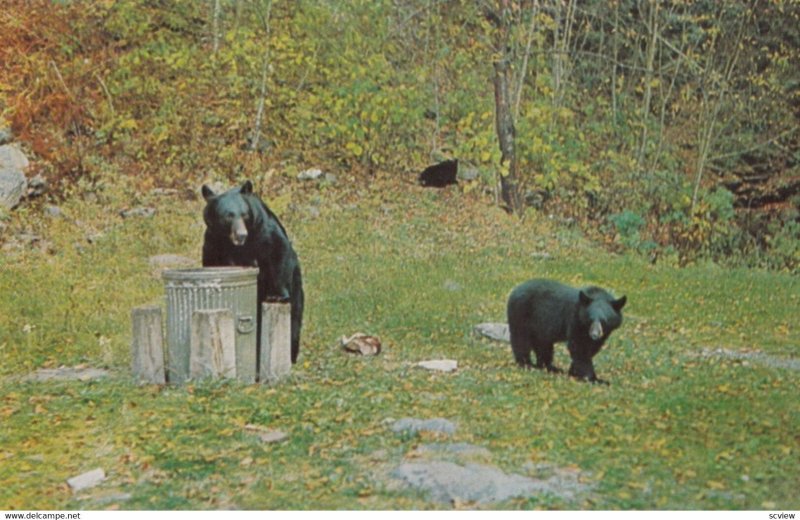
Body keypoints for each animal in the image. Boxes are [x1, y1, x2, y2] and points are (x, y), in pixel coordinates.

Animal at [202, 181, 304, 364]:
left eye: (244, 214)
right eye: (228, 216)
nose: (241, 234)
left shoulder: (263, 230)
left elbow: (278, 251)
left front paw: (276, 295)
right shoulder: (213, 242)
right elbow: (213, 264)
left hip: (296, 289)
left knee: (294, 322)